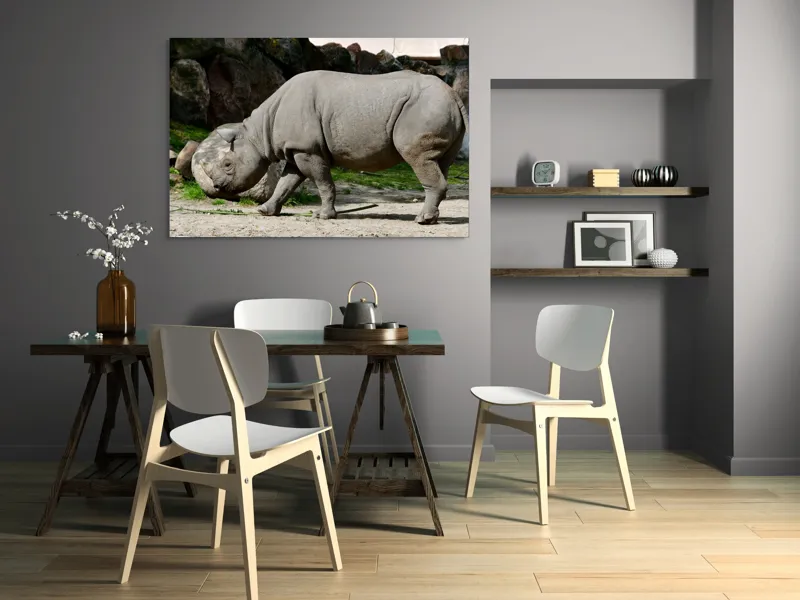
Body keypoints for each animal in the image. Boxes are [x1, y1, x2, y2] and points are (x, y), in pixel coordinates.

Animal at [191, 69, 468, 224]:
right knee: (440, 162)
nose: (218, 188)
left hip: (424, 108)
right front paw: (265, 211)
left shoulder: (308, 150)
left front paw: (323, 216)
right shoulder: (296, 150)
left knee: (418, 158)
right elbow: (285, 183)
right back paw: (431, 219)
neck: (259, 133)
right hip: (438, 108)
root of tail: (454, 96)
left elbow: (323, 183)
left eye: (228, 164)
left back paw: (421, 221)